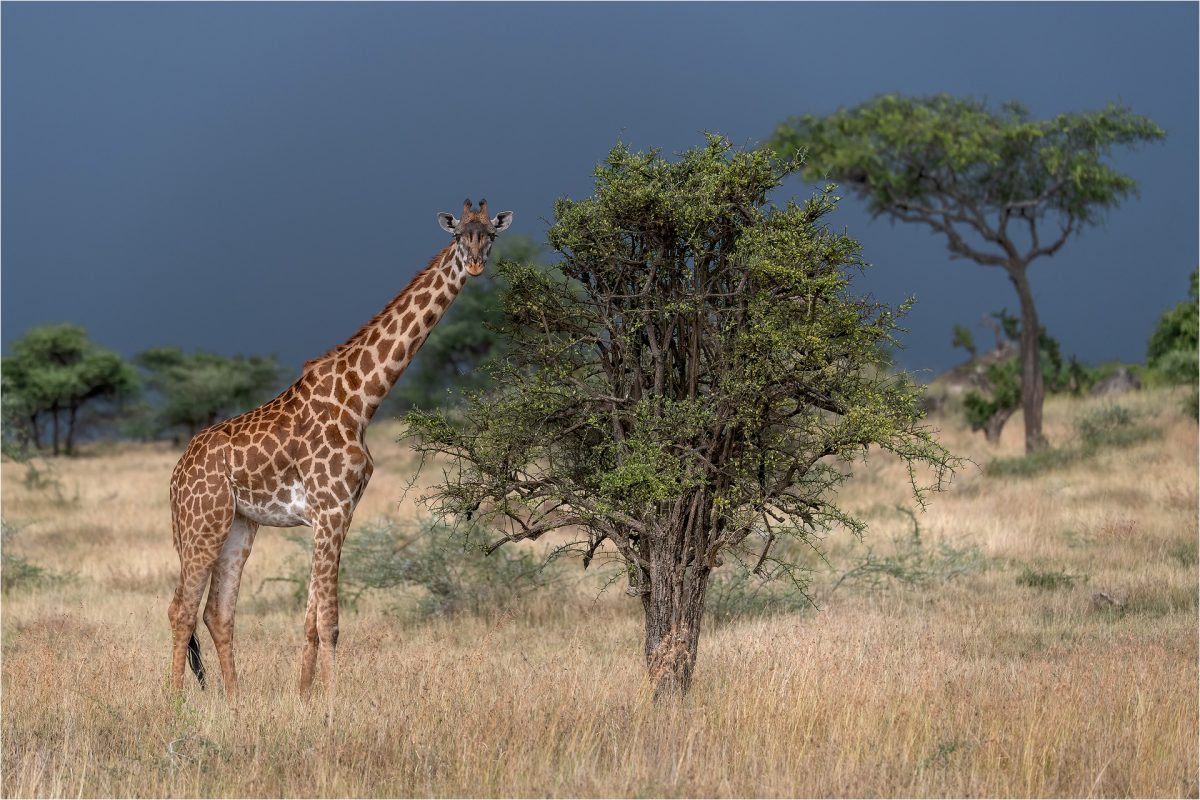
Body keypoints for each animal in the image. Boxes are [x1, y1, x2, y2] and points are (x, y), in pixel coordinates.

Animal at [165, 200, 511, 705]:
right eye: (458, 236)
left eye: (490, 235)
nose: (477, 264)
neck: (362, 399)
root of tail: (176, 474)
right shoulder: (330, 508)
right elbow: (329, 621)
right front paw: (330, 704)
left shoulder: (340, 512)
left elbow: (311, 620)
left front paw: (304, 697)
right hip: (202, 521)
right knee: (181, 609)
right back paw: (174, 705)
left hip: (239, 525)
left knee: (217, 612)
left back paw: (235, 701)